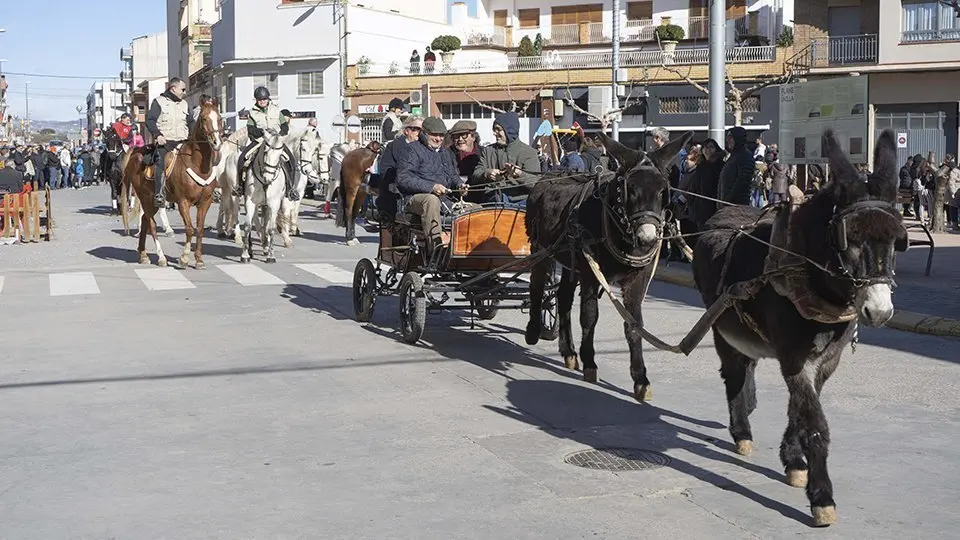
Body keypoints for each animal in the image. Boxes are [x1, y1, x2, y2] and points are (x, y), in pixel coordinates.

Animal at [119, 101, 223, 268]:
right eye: (204, 118)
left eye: (219, 118)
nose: (216, 142)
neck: (196, 164)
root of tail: (135, 153)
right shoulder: (183, 202)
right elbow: (189, 229)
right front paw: (184, 258)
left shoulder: (205, 202)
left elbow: (200, 230)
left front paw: (199, 259)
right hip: (147, 198)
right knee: (151, 224)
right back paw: (161, 258)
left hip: (151, 202)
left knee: (145, 221)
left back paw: (143, 254)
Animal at [239, 133, 284, 264]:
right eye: (265, 152)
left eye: (280, 155)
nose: (268, 178)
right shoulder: (250, 201)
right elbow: (248, 226)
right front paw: (245, 255)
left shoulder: (274, 204)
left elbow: (271, 229)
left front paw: (271, 255)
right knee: (256, 220)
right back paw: (253, 249)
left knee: (265, 222)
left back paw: (265, 246)